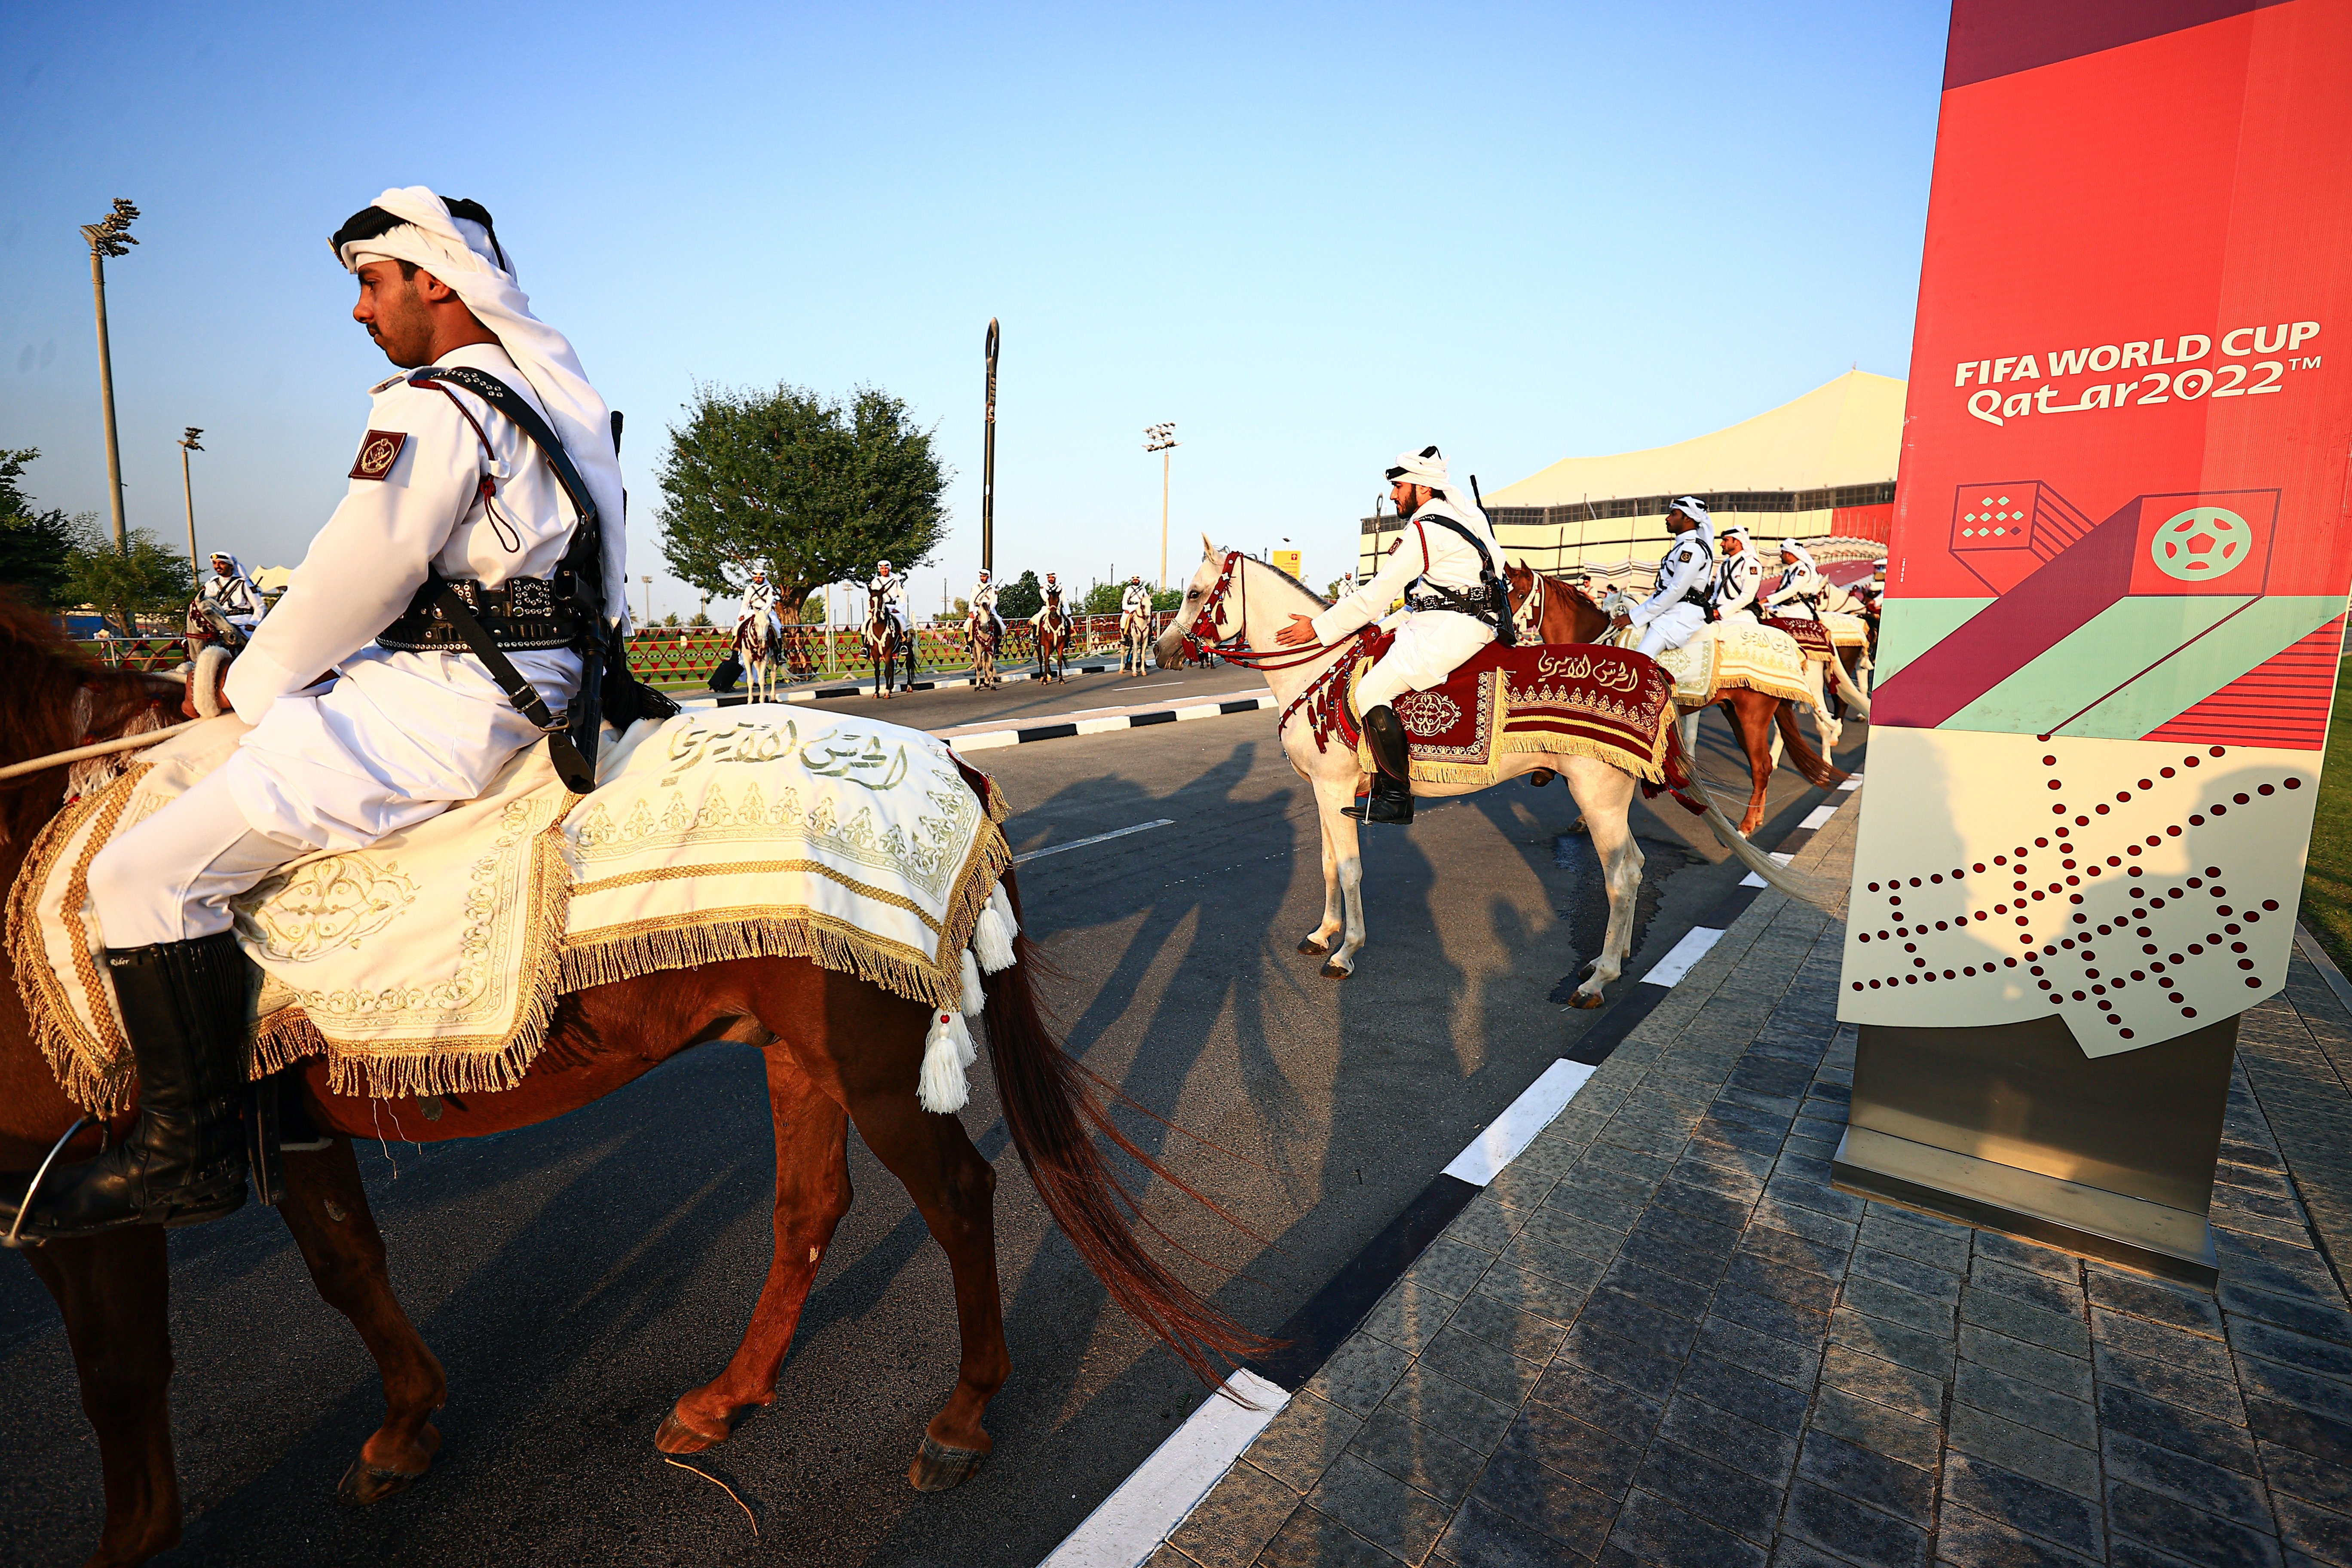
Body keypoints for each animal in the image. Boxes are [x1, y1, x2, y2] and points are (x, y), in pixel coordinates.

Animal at [0, 597, 1270, 1568]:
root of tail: (953, 760)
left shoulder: (75, 1176)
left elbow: (118, 1374)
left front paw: (134, 1540)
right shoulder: (288, 1119)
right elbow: (346, 1267)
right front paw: (406, 1427)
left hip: (867, 1066)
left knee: (956, 1198)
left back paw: (961, 1417)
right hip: (799, 1050)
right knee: (811, 1209)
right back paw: (728, 1399)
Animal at [1496, 562, 1844, 832]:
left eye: (1517, 594)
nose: (1502, 632)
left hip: (1753, 715)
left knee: (1761, 766)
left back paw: (1746, 827)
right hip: (1734, 712)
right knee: (1766, 764)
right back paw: (1757, 817)